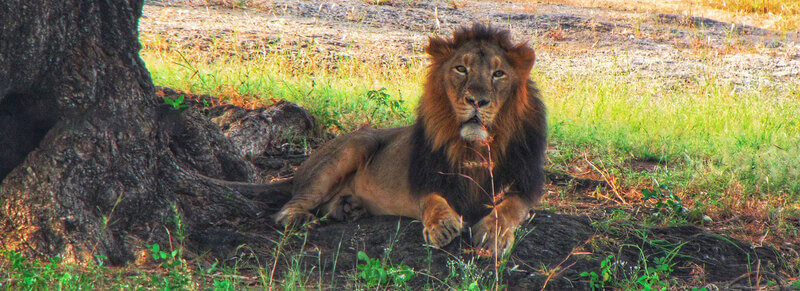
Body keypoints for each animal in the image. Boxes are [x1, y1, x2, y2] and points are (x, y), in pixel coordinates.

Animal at [231, 24, 548, 256]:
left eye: (498, 73)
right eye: (461, 69)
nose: (477, 101)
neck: (476, 147)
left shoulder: (526, 186)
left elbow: (510, 209)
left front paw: (493, 233)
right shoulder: (422, 177)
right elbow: (431, 199)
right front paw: (442, 225)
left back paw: (349, 209)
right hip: (354, 146)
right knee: (289, 206)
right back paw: (301, 217)